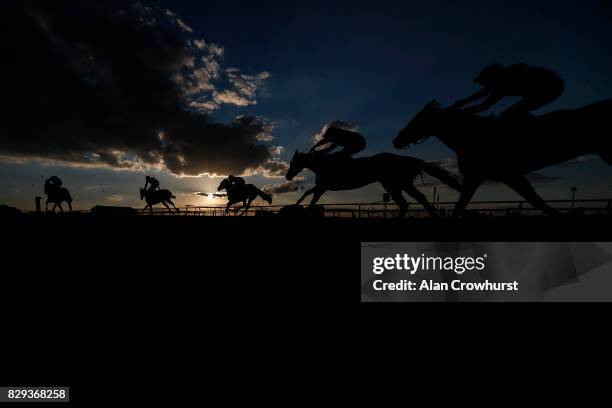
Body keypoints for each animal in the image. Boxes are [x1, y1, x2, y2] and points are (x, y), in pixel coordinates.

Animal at [286, 151, 460, 218]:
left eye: (293, 162)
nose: (287, 176)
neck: (323, 164)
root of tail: (407, 159)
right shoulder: (322, 187)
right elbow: (310, 195)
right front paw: (298, 205)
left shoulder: (323, 187)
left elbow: (310, 197)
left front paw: (297, 206)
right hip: (395, 186)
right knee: (409, 202)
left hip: (398, 184)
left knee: (414, 200)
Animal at [394, 99, 612, 217]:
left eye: (418, 119)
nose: (397, 139)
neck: (472, 137)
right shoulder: (481, 178)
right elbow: (460, 206)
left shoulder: (508, 175)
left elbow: (536, 200)